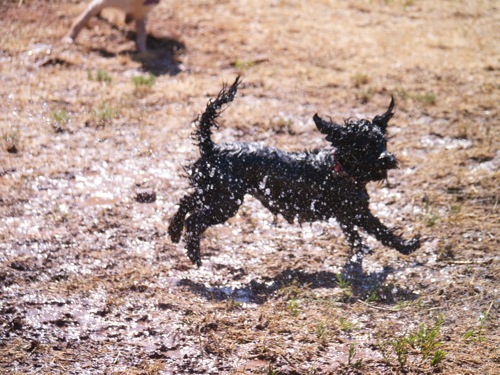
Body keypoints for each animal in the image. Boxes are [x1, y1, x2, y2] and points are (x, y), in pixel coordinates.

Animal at [168, 77, 418, 268]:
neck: (340, 169)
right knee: (195, 219)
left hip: (211, 192)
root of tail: (211, 147)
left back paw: (173, 231)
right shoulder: (356, 212)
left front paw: (361, 254)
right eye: (364, 147)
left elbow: (356, 237)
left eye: (383, 142)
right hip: (225, 201)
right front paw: (407, 246)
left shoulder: (346, 215)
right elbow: (382, 231)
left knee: (186, 201)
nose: (388, 159)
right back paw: (194, 254)